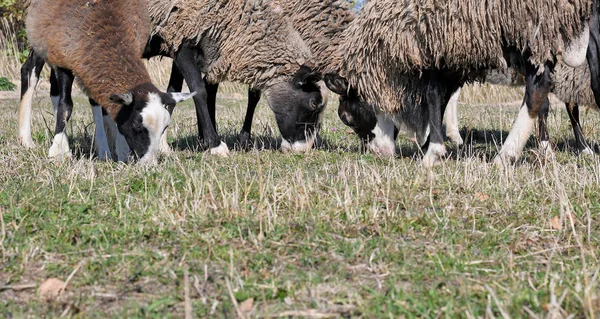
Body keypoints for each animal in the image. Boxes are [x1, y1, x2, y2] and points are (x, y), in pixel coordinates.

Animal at [21, 0, 193, 164]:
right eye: (136, 127)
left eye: (165, 128)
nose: (149, 164)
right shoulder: (62, 61)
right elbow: (65, 107)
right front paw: (56, 152)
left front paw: (118, 151)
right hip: (40, 41)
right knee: (29, 72)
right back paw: (26, 141)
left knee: (58, 91)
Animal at [322, 0, 592, 166]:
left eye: (346, 117)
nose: (378, 154)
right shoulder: (451, 53)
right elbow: (441, 97)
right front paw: (431, 142)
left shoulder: (437, 47)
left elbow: (433, 95)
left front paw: (433, 150)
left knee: (540, 88)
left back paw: (505, 155)